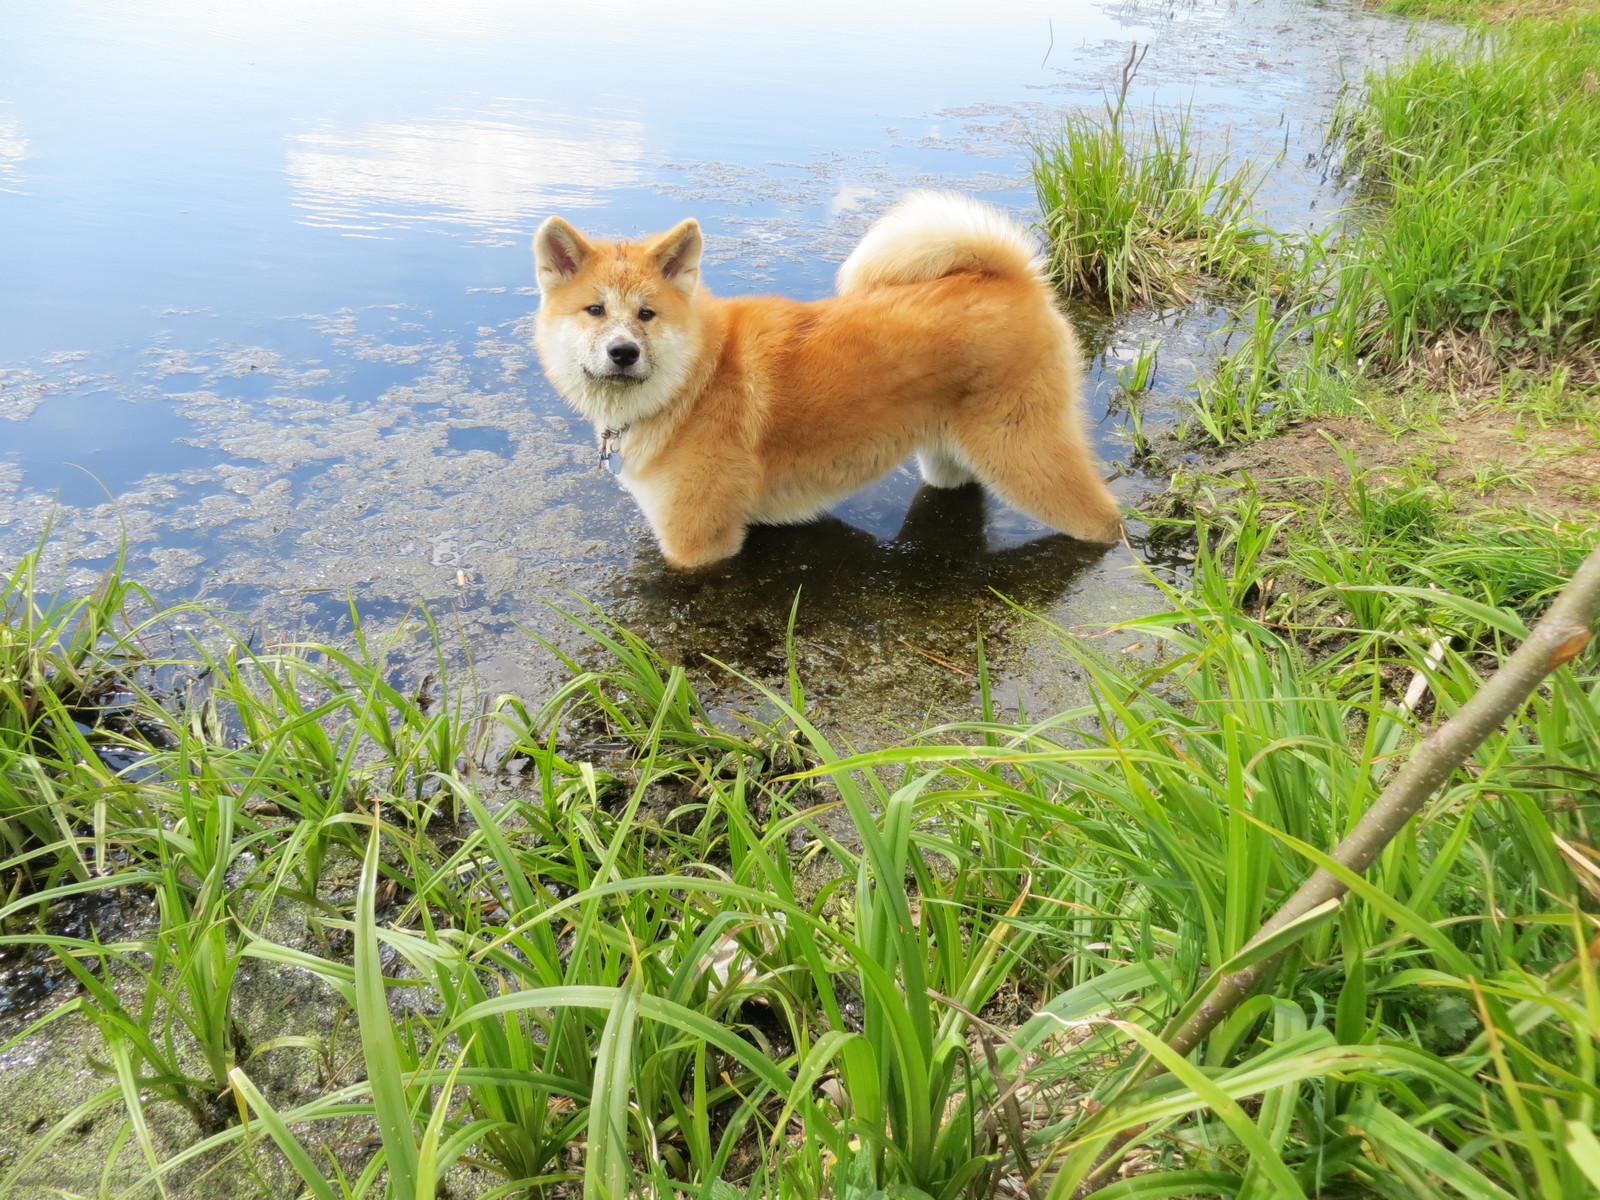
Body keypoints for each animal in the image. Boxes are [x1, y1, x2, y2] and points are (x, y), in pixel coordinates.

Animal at [531, 193, 1120, 572]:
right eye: (594, 309)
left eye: (647, 314)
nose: (623, 353)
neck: (694, 382)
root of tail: (1014, 280)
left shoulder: (696, 545)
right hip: (947, 457)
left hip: (1024, 453)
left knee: (1103, 519)